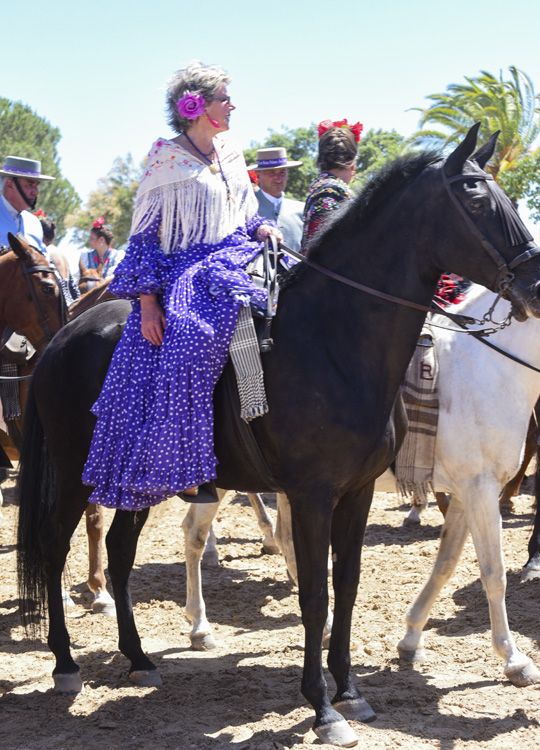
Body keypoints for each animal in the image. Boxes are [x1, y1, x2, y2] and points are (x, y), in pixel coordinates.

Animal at [186, 284, 540, 692]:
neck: (487, 369)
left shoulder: (468, 494)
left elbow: (446, 563)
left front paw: (411, 639)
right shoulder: (480, 489)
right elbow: (494, 575)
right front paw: (514, 660)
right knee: (194, 534)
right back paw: (200, 627)